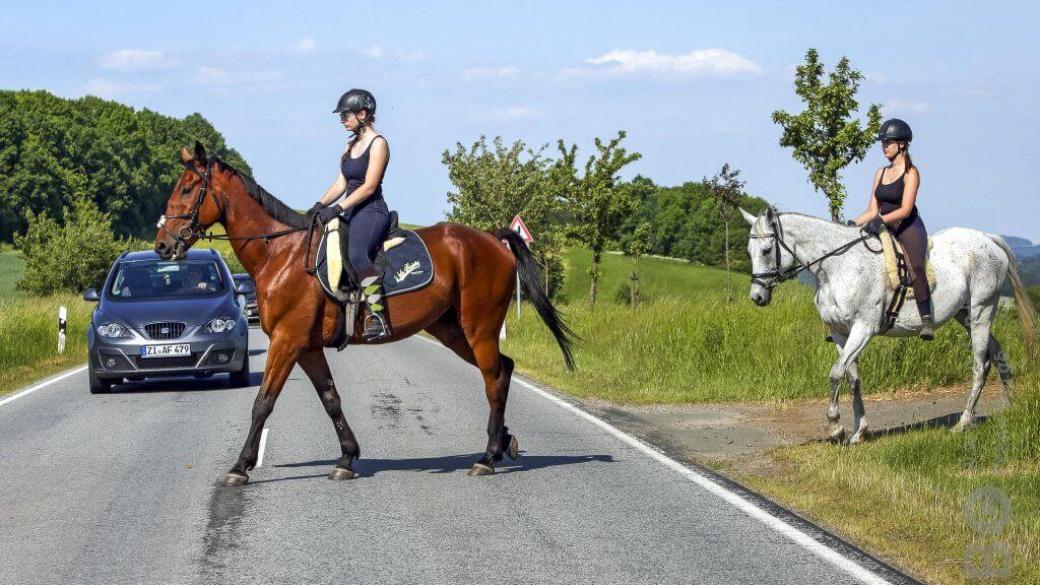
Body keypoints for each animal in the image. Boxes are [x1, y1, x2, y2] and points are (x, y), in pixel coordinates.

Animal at [156, 143, 569, 485]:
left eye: (188, 189)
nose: (162, 245)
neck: (281, 254)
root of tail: (492, 240)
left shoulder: (287, 342)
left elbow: (263, 402)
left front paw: (240, 466)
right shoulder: (307, 347)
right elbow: (330, 399)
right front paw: (346, 458)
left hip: (478, 327)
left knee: (493, 379)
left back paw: (486, 457)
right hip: (452, 331)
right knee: (504, 368)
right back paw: (502, 445)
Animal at [736, 207, 1035, 439]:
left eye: (766, 250)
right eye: (749, 251)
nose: (757, 297)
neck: (838, 268)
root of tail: (988, 238)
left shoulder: (863, 329)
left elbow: (836, 373)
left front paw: (835, 427)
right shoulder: (840, 333)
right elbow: (852, 377)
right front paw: (858, 431)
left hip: (982, 311)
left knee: (979, 365)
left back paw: (963, 423)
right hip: (966, 316)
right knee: (996, 352)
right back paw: (1013, 404)